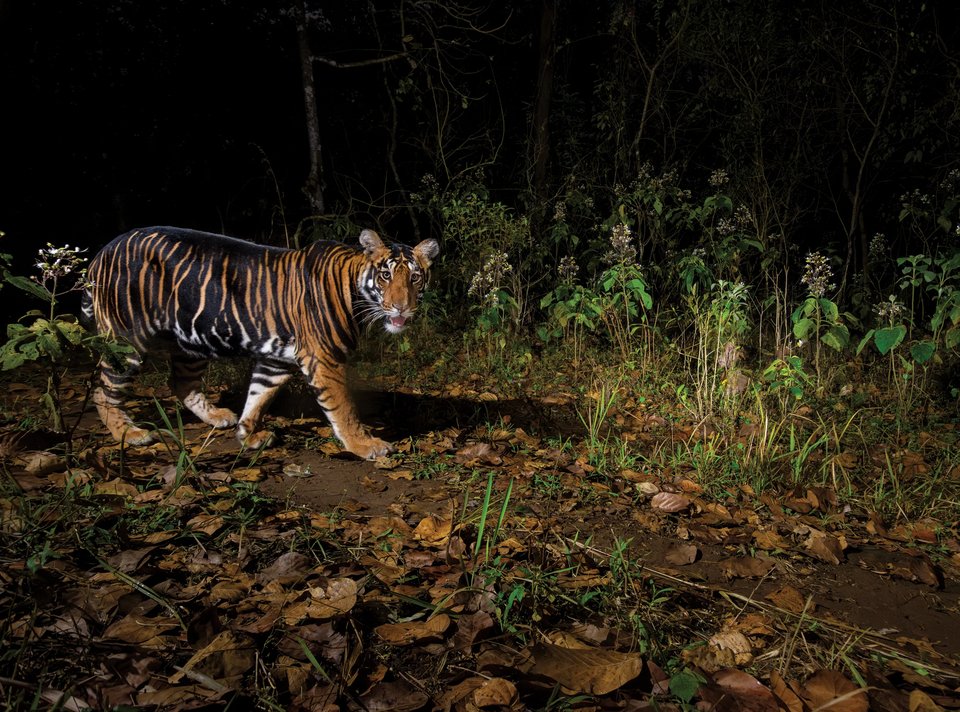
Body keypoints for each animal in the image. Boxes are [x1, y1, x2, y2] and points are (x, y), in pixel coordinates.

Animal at [81, 226, 439, 459]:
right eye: (385, 276)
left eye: (415, 277)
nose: (401, 307)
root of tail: (102, 252)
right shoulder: (324, 358)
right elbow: (344, 408)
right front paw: (366, 446)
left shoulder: (276, 360)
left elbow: (258, 396)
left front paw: (247, 434)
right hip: (126, 339)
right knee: (102, 388)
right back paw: (130, 434)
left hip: (192, 340)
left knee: (181, 382)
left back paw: (218, 416)